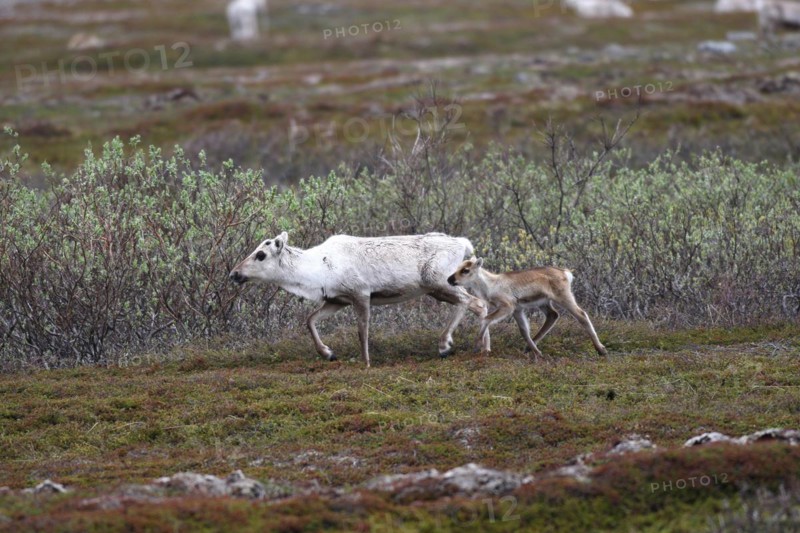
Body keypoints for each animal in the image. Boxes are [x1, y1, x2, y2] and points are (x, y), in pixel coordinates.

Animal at [230, 232, 488, 368]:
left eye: (260, 254)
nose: (234, 274)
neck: (317, 270)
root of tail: (464, 244)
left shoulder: (361, 294)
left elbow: (362, 331)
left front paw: (366, 363)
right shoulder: (337, 299)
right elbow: (310, 320)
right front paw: (328, 353)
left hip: (438, 282)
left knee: (473, 303)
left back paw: (452, 346)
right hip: (439, 287)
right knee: (476, 304)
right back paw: (476, 347)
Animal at [447, 257, 607, 358]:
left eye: (466, 270)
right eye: (457, 267)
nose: (450, 279)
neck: (490, 285)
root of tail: (566, 273)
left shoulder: (508, 306)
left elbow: (486, 319)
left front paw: (478, 346)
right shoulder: (518, 310)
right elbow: (524, 331)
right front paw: (538, 353)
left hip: (563, 296)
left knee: (582, 315)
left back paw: (601, 349)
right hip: (544, 302)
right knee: (553, 315)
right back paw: (529, 348)